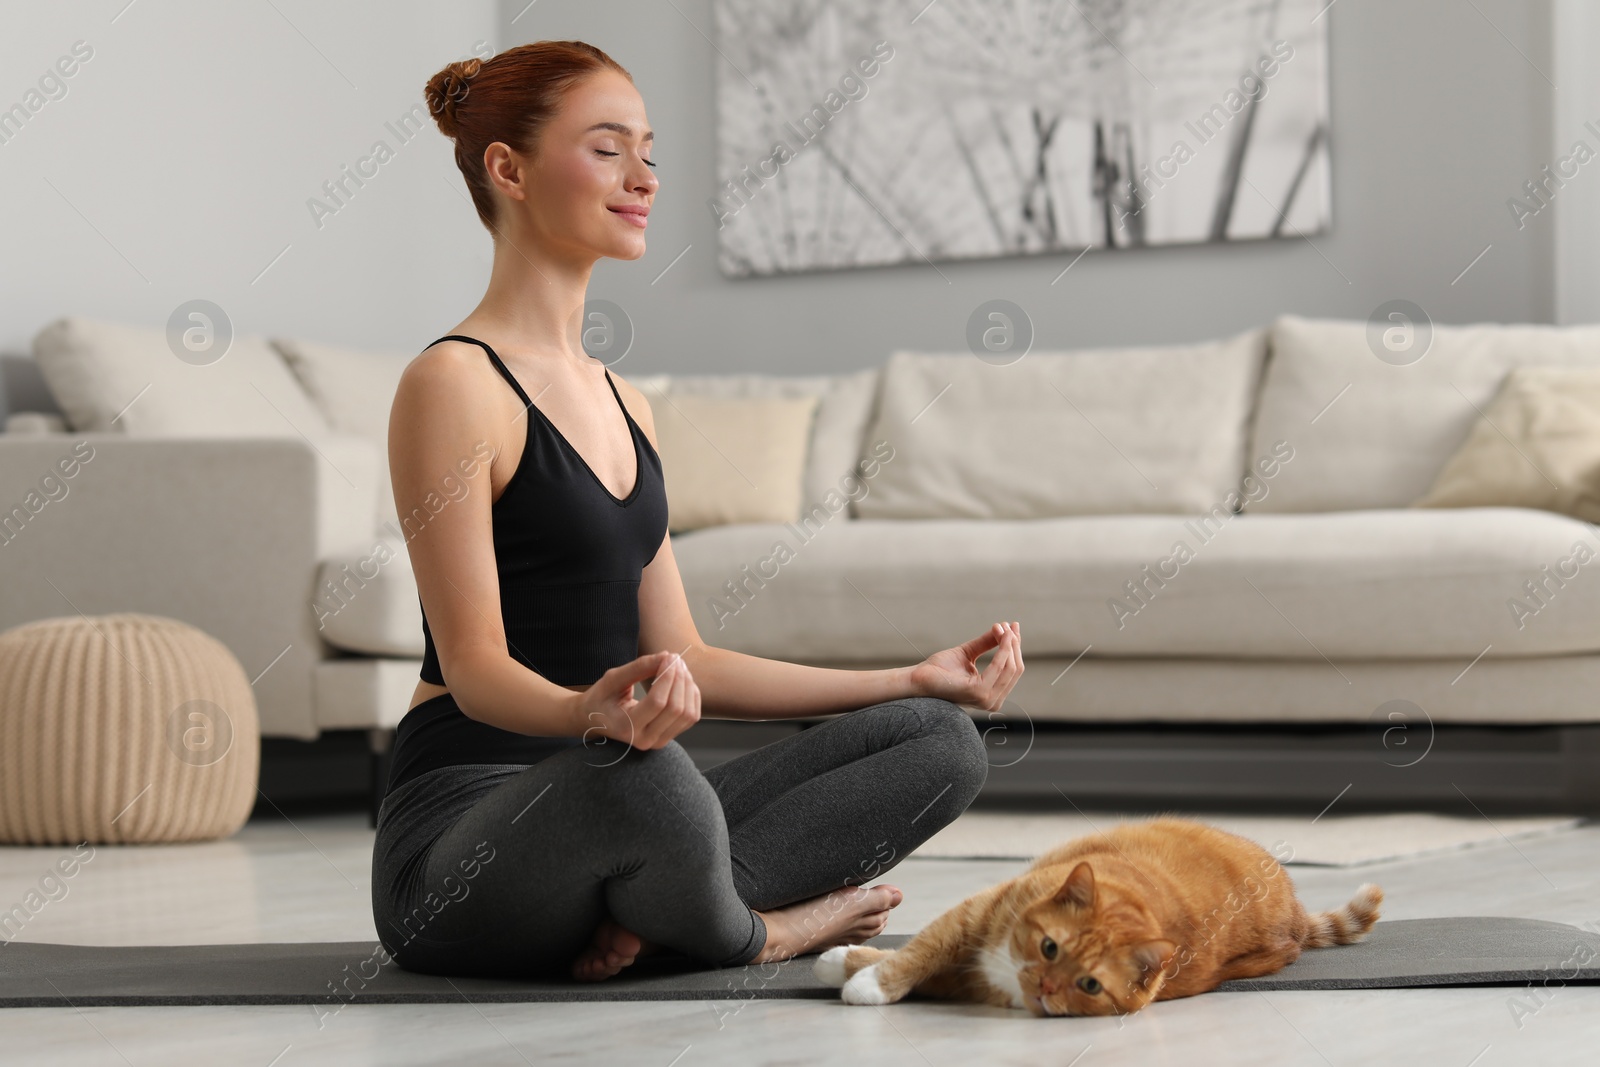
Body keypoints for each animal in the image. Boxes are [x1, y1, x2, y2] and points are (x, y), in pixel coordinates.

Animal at [819, 819, 1382, 1017]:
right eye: (1049, 947)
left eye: (1089, 984)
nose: (1045, 987)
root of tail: (1296, 913)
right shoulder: (972, 916)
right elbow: (921, 949)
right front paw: (849, 963)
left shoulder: (974, 977)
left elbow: (924, 967)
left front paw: (862, 979)